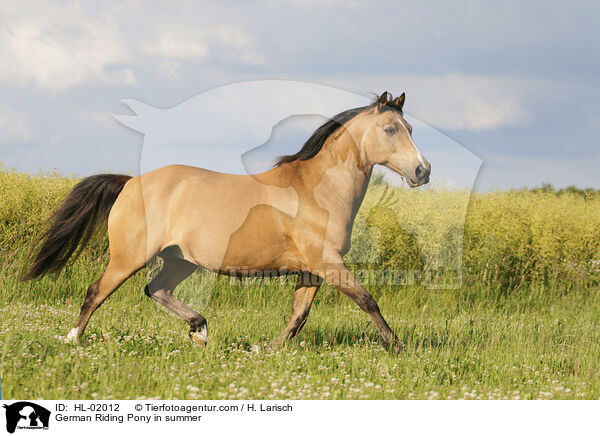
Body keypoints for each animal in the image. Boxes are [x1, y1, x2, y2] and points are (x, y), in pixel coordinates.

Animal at [21, 90, 428, 352]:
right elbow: (367, 300)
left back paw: (200, 331)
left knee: (156, 290)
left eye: (411, 129)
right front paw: (397, 347)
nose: (422, 171)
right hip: (129, 257)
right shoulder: (326, 262)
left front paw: (269, 349)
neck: (318, 191)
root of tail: (130, 182)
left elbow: (299, 315)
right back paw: (72, 340)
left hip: (180, 260)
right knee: (97, 292)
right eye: (391, 129)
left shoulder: (312, 269)